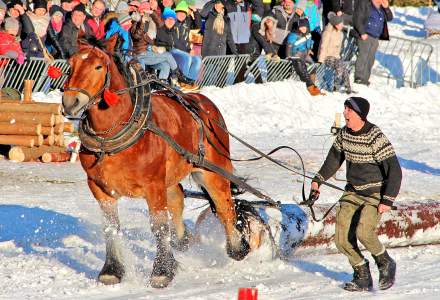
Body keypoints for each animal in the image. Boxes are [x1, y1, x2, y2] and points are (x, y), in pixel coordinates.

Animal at [61, 37, 249, 288]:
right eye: (70, 65)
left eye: (98, 67)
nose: (70, 101)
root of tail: (202, 101)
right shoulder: (99, 188)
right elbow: (111, 227)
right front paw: (112, 270)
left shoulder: (153, 185)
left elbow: (159, 226)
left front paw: (162, 271)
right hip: (171, 177)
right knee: (178, 199)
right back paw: (182, 240)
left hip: (212, 171)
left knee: (224, 206)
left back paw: (237, 247)